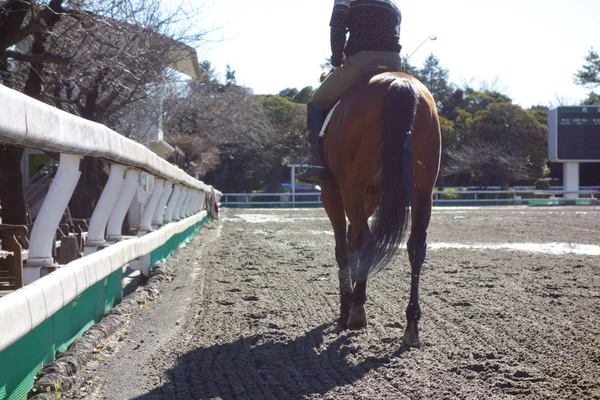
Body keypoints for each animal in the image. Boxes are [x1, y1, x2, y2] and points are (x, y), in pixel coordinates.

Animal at [318, 70, 440, 348]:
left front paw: (346, 305)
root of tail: (401, 82)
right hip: (422, 191)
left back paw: (356, 311)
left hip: (351, 187)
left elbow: (342, 247)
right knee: (415, 247)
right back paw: (411, 326)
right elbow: (351, 241)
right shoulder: (370, 195)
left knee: (366, 240)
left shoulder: (331, 192)